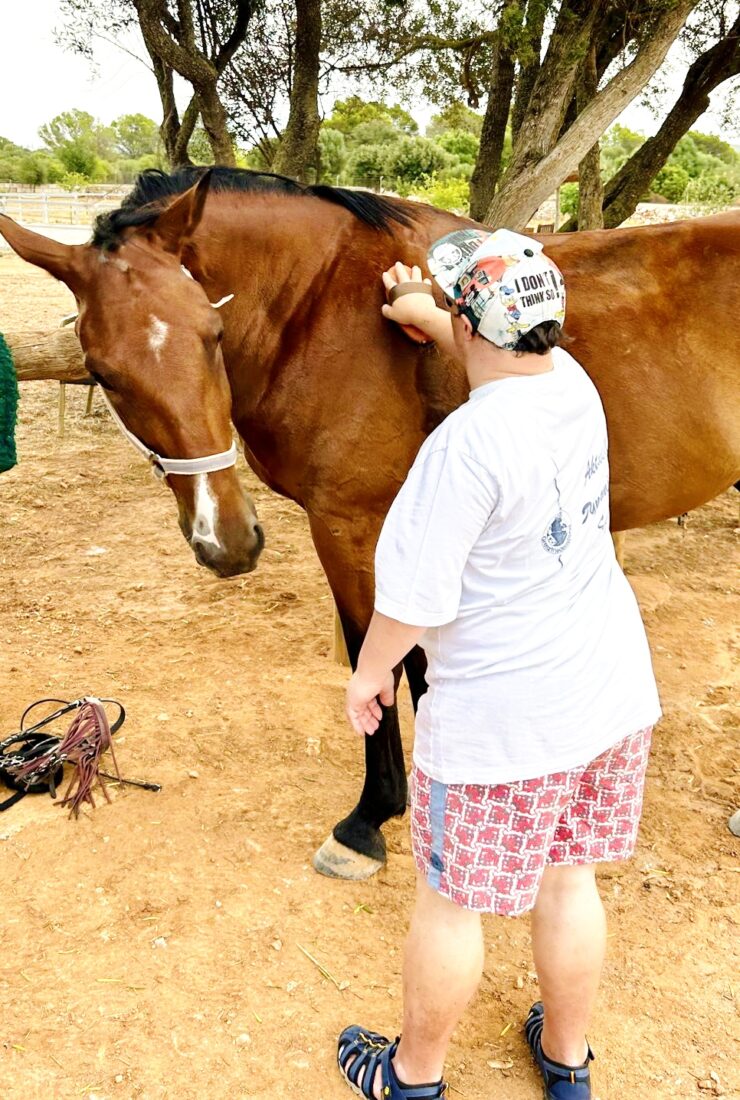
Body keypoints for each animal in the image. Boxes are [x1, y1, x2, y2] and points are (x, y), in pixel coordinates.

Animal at [1, 167, 738, 880]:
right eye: (103, 373)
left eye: (213, 336)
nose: (227, 542)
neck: (320, 309)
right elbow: (412, 662)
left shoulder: (349, 525)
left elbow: (375, 664)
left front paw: (369, 820)